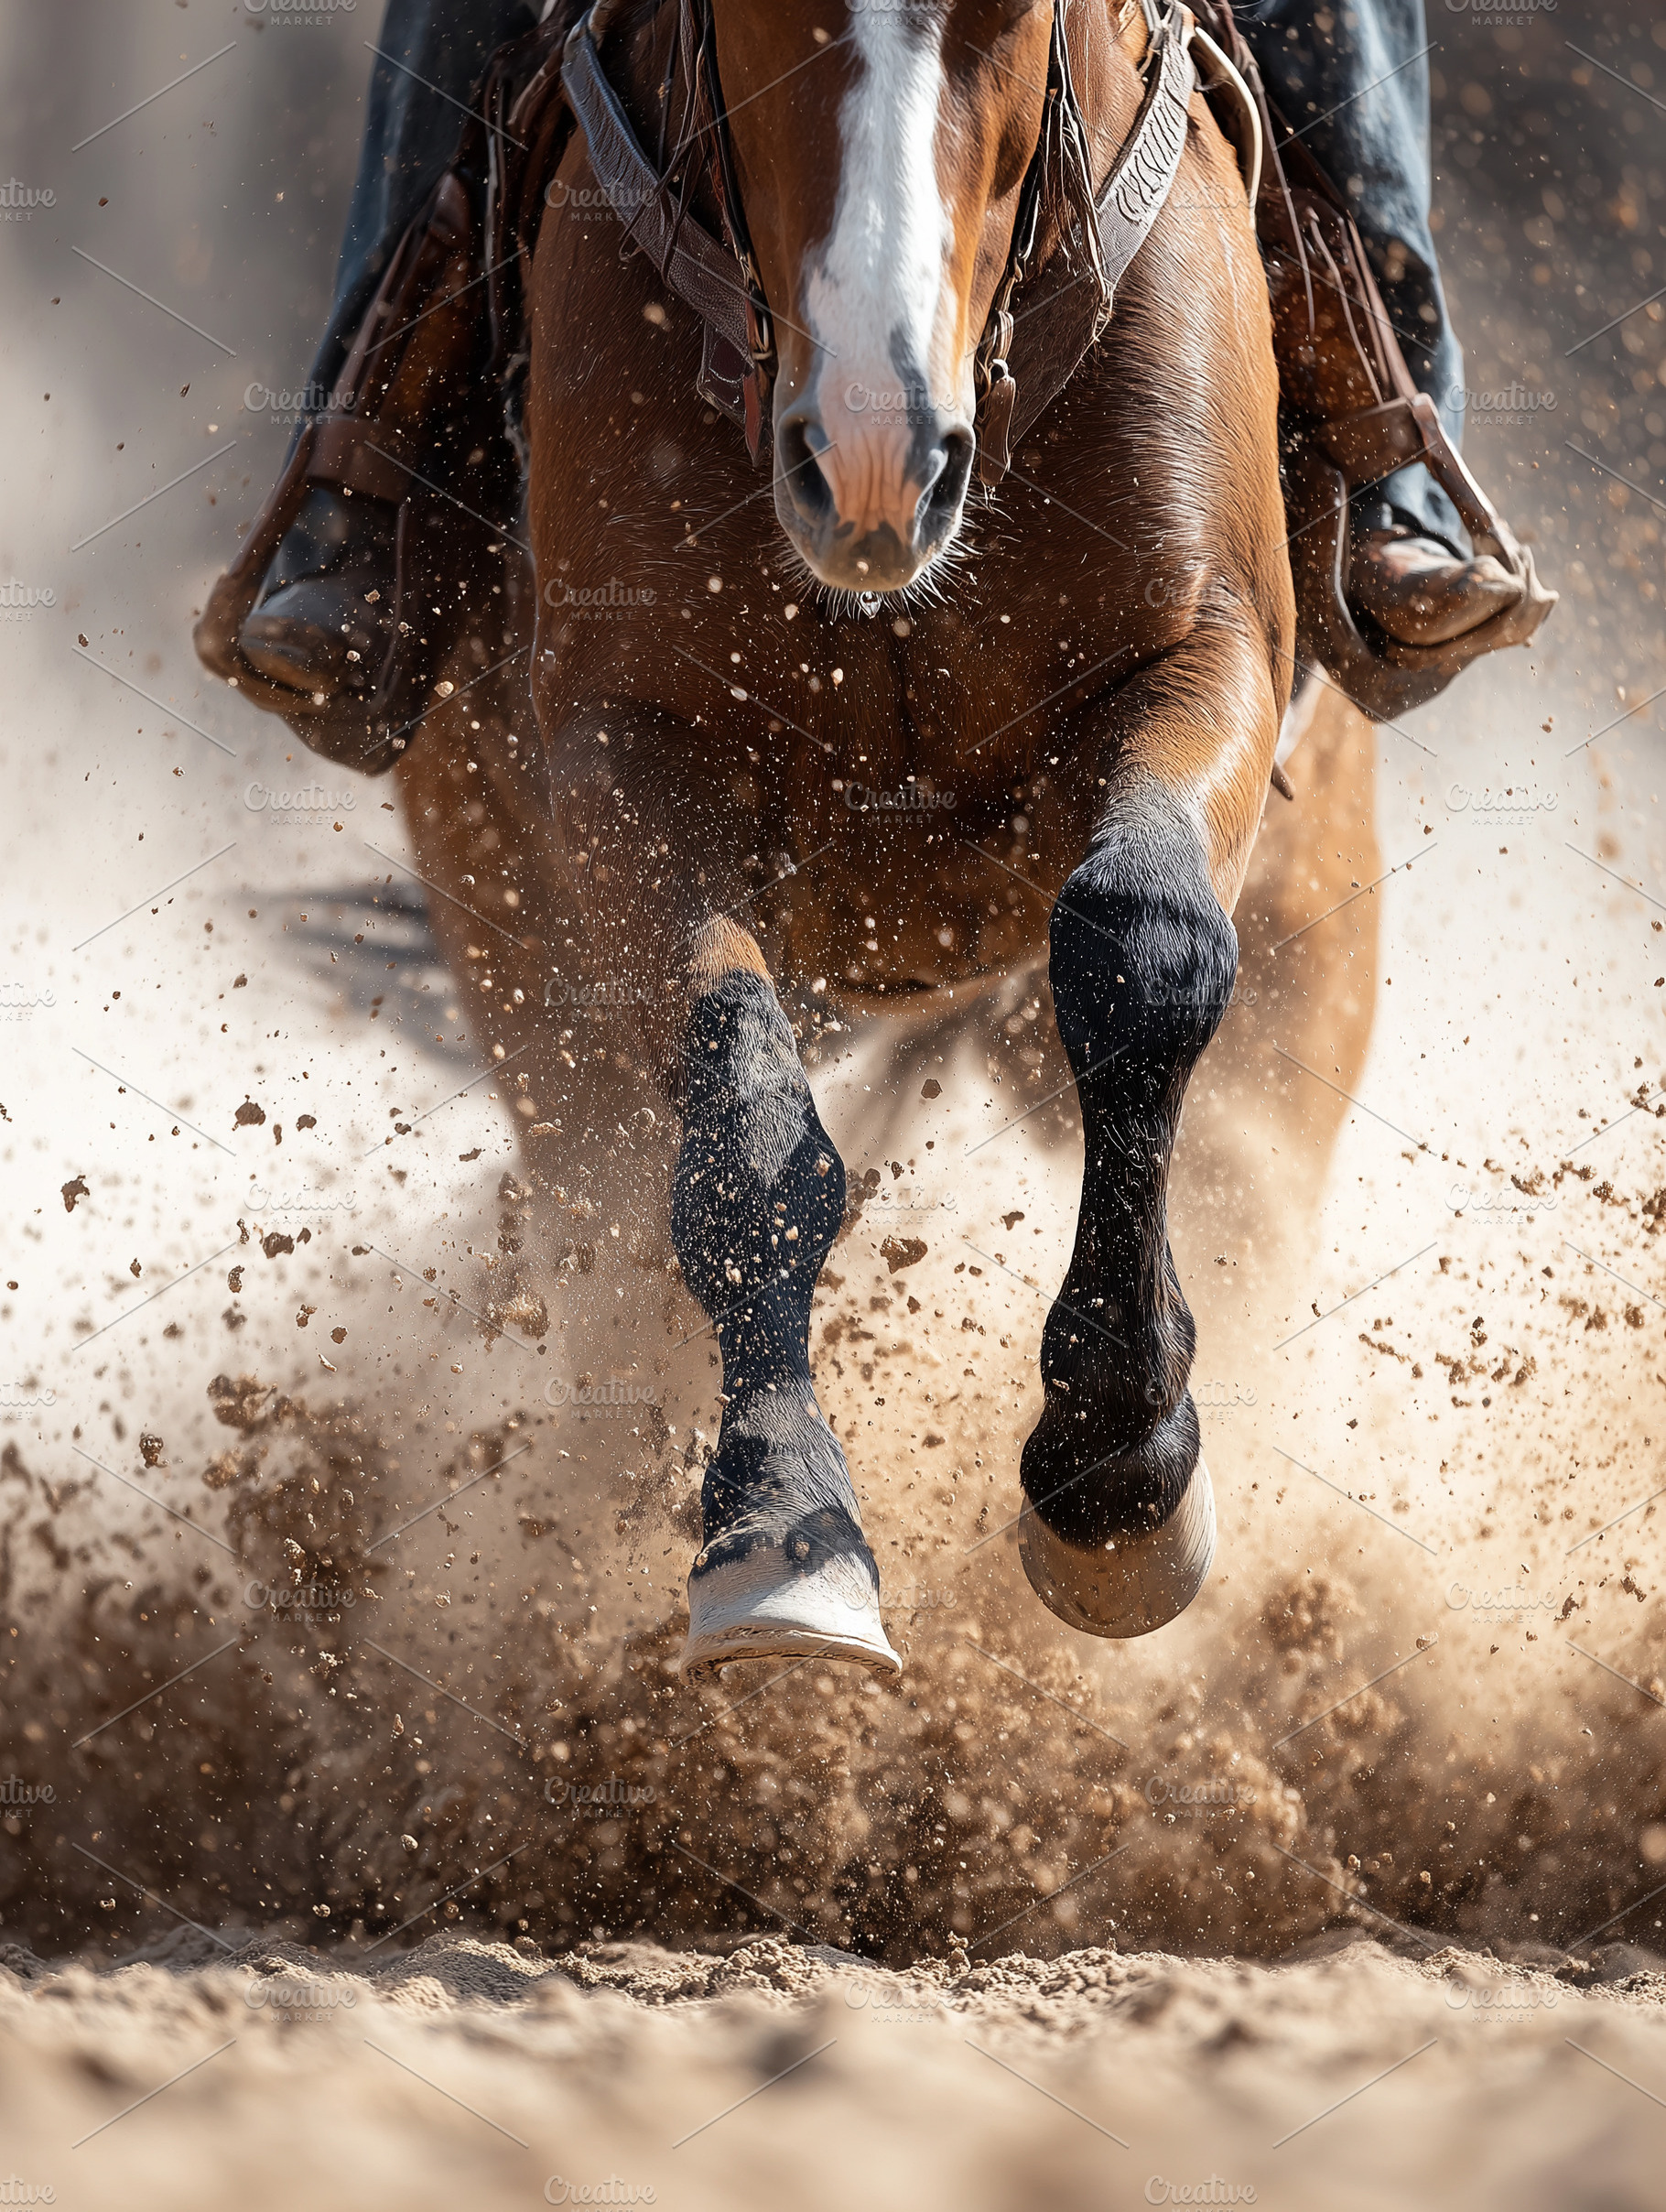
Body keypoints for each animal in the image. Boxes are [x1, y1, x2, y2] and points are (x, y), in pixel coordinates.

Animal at [400, 0, 1298, 1678]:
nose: (877, 456)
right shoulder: (623, 752)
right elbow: (744, 1121)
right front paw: (778, 1520)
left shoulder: (1210, 658)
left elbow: (1141, 947)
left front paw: (1118, 1467)